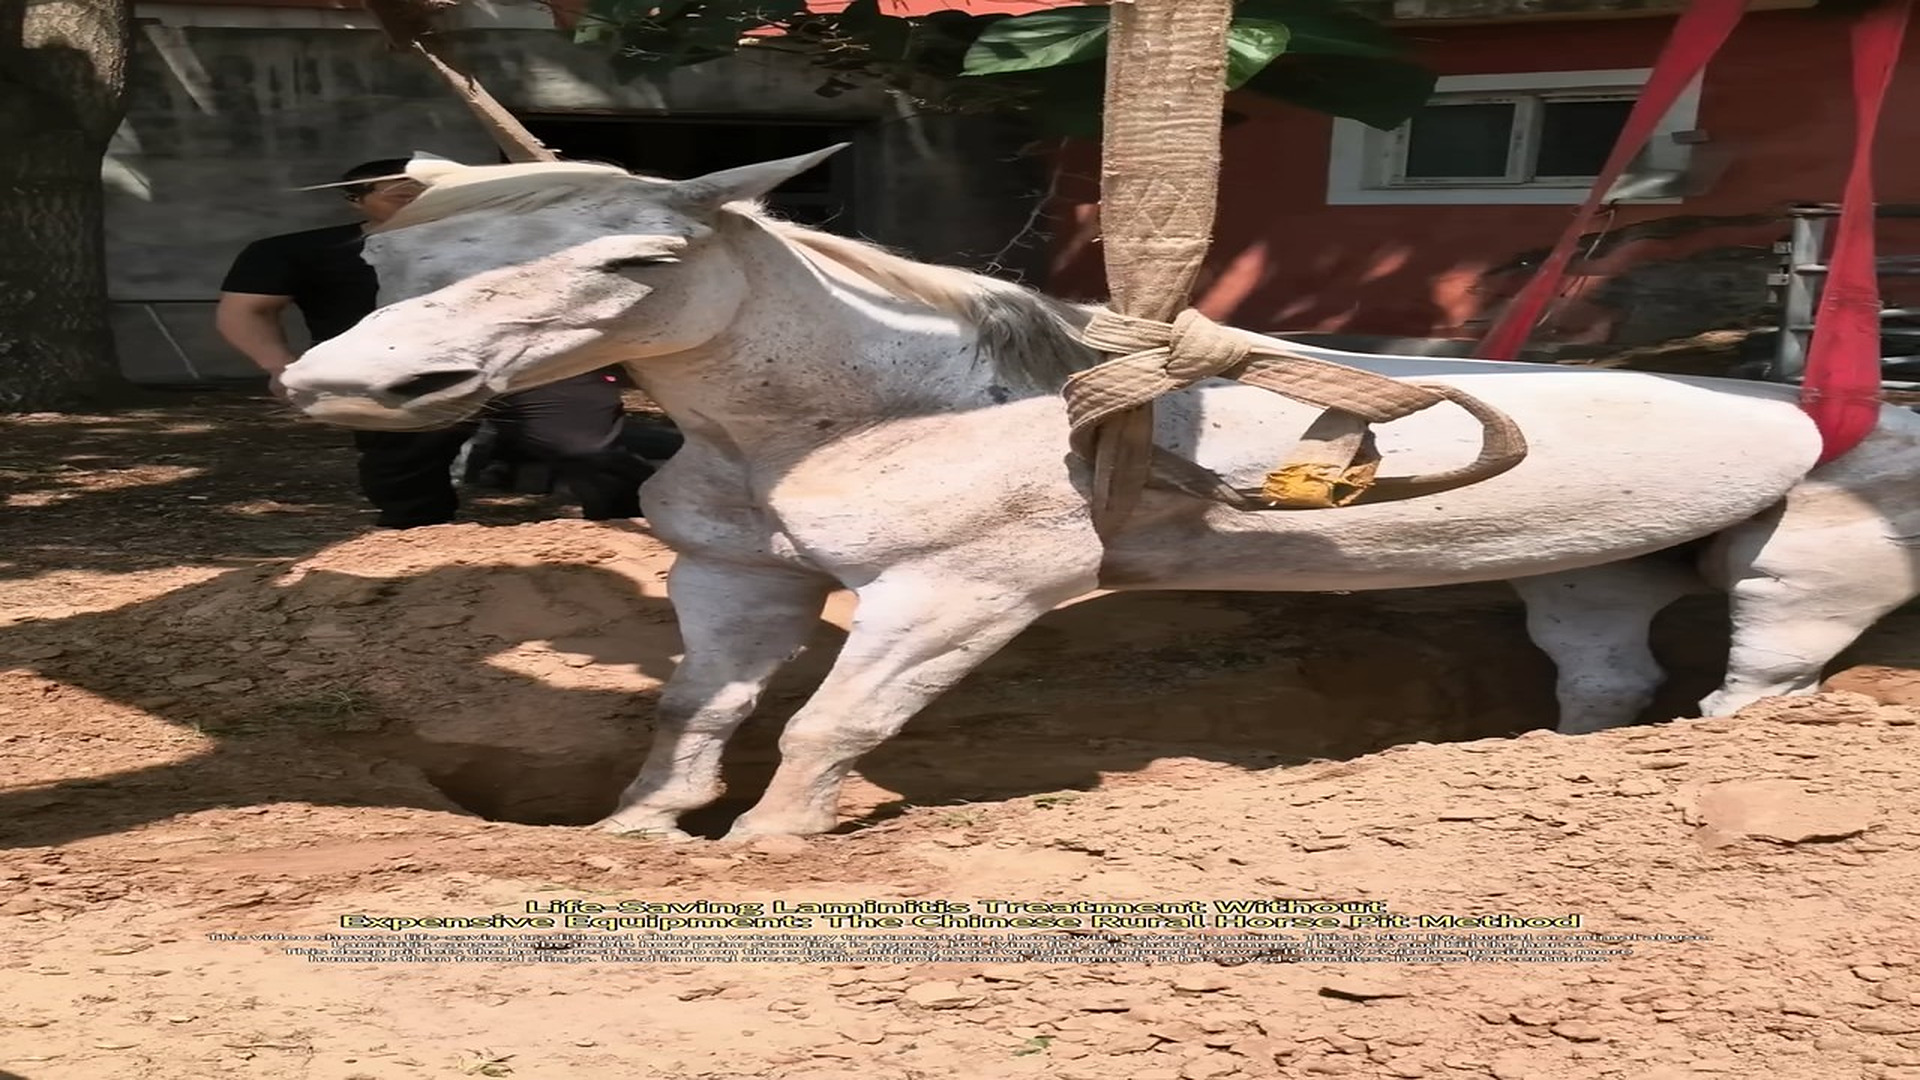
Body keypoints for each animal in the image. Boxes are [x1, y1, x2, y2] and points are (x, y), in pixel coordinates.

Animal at [275, 146, 1920, 840]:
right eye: (379, 256)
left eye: (635, 260)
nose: (345, 390)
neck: (864, 408)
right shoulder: (731, 578)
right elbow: (695, 711)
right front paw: (635, 836)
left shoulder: (962, 595)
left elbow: (830, 725)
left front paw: (768, 849)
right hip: (1591, 568)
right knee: (1603, 678)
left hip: (1808, 577)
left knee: (1752, 687)